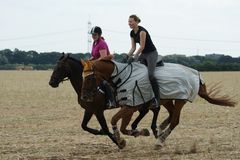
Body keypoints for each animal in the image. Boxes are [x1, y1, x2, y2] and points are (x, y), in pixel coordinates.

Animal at [80, 56, 236, 149]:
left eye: (90, 78)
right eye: (82, 77)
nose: (84, 97)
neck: (122, 77)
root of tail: (196, 74)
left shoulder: (131, 106)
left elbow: (114, 120)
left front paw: (122, 139)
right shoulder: (129, 106)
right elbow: (123, 126)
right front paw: (135, 133)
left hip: (180, 100)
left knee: (175, 120)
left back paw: (160, 140)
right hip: (168, 100)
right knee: (171, 115)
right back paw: (160, 130)